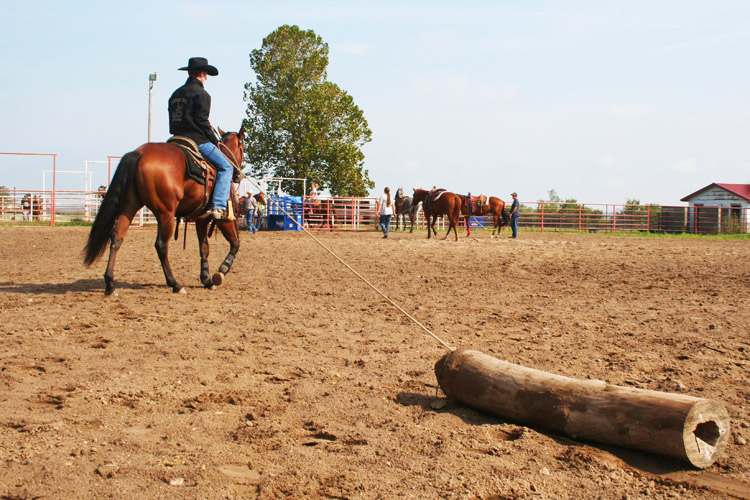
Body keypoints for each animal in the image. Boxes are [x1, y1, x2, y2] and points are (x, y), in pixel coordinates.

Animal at [85, 127, 245, 294]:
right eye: (243, 147)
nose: (238, 174)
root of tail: (140, 153)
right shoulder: (224, 217)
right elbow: (235, 243)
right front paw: (220, 272)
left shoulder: (201, 219)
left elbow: (204, 248)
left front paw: (206, 279)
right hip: (166, 214)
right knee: (161, 245)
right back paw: (175, 284)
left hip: (129, 206)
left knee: (117, 238)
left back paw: (110, 284)